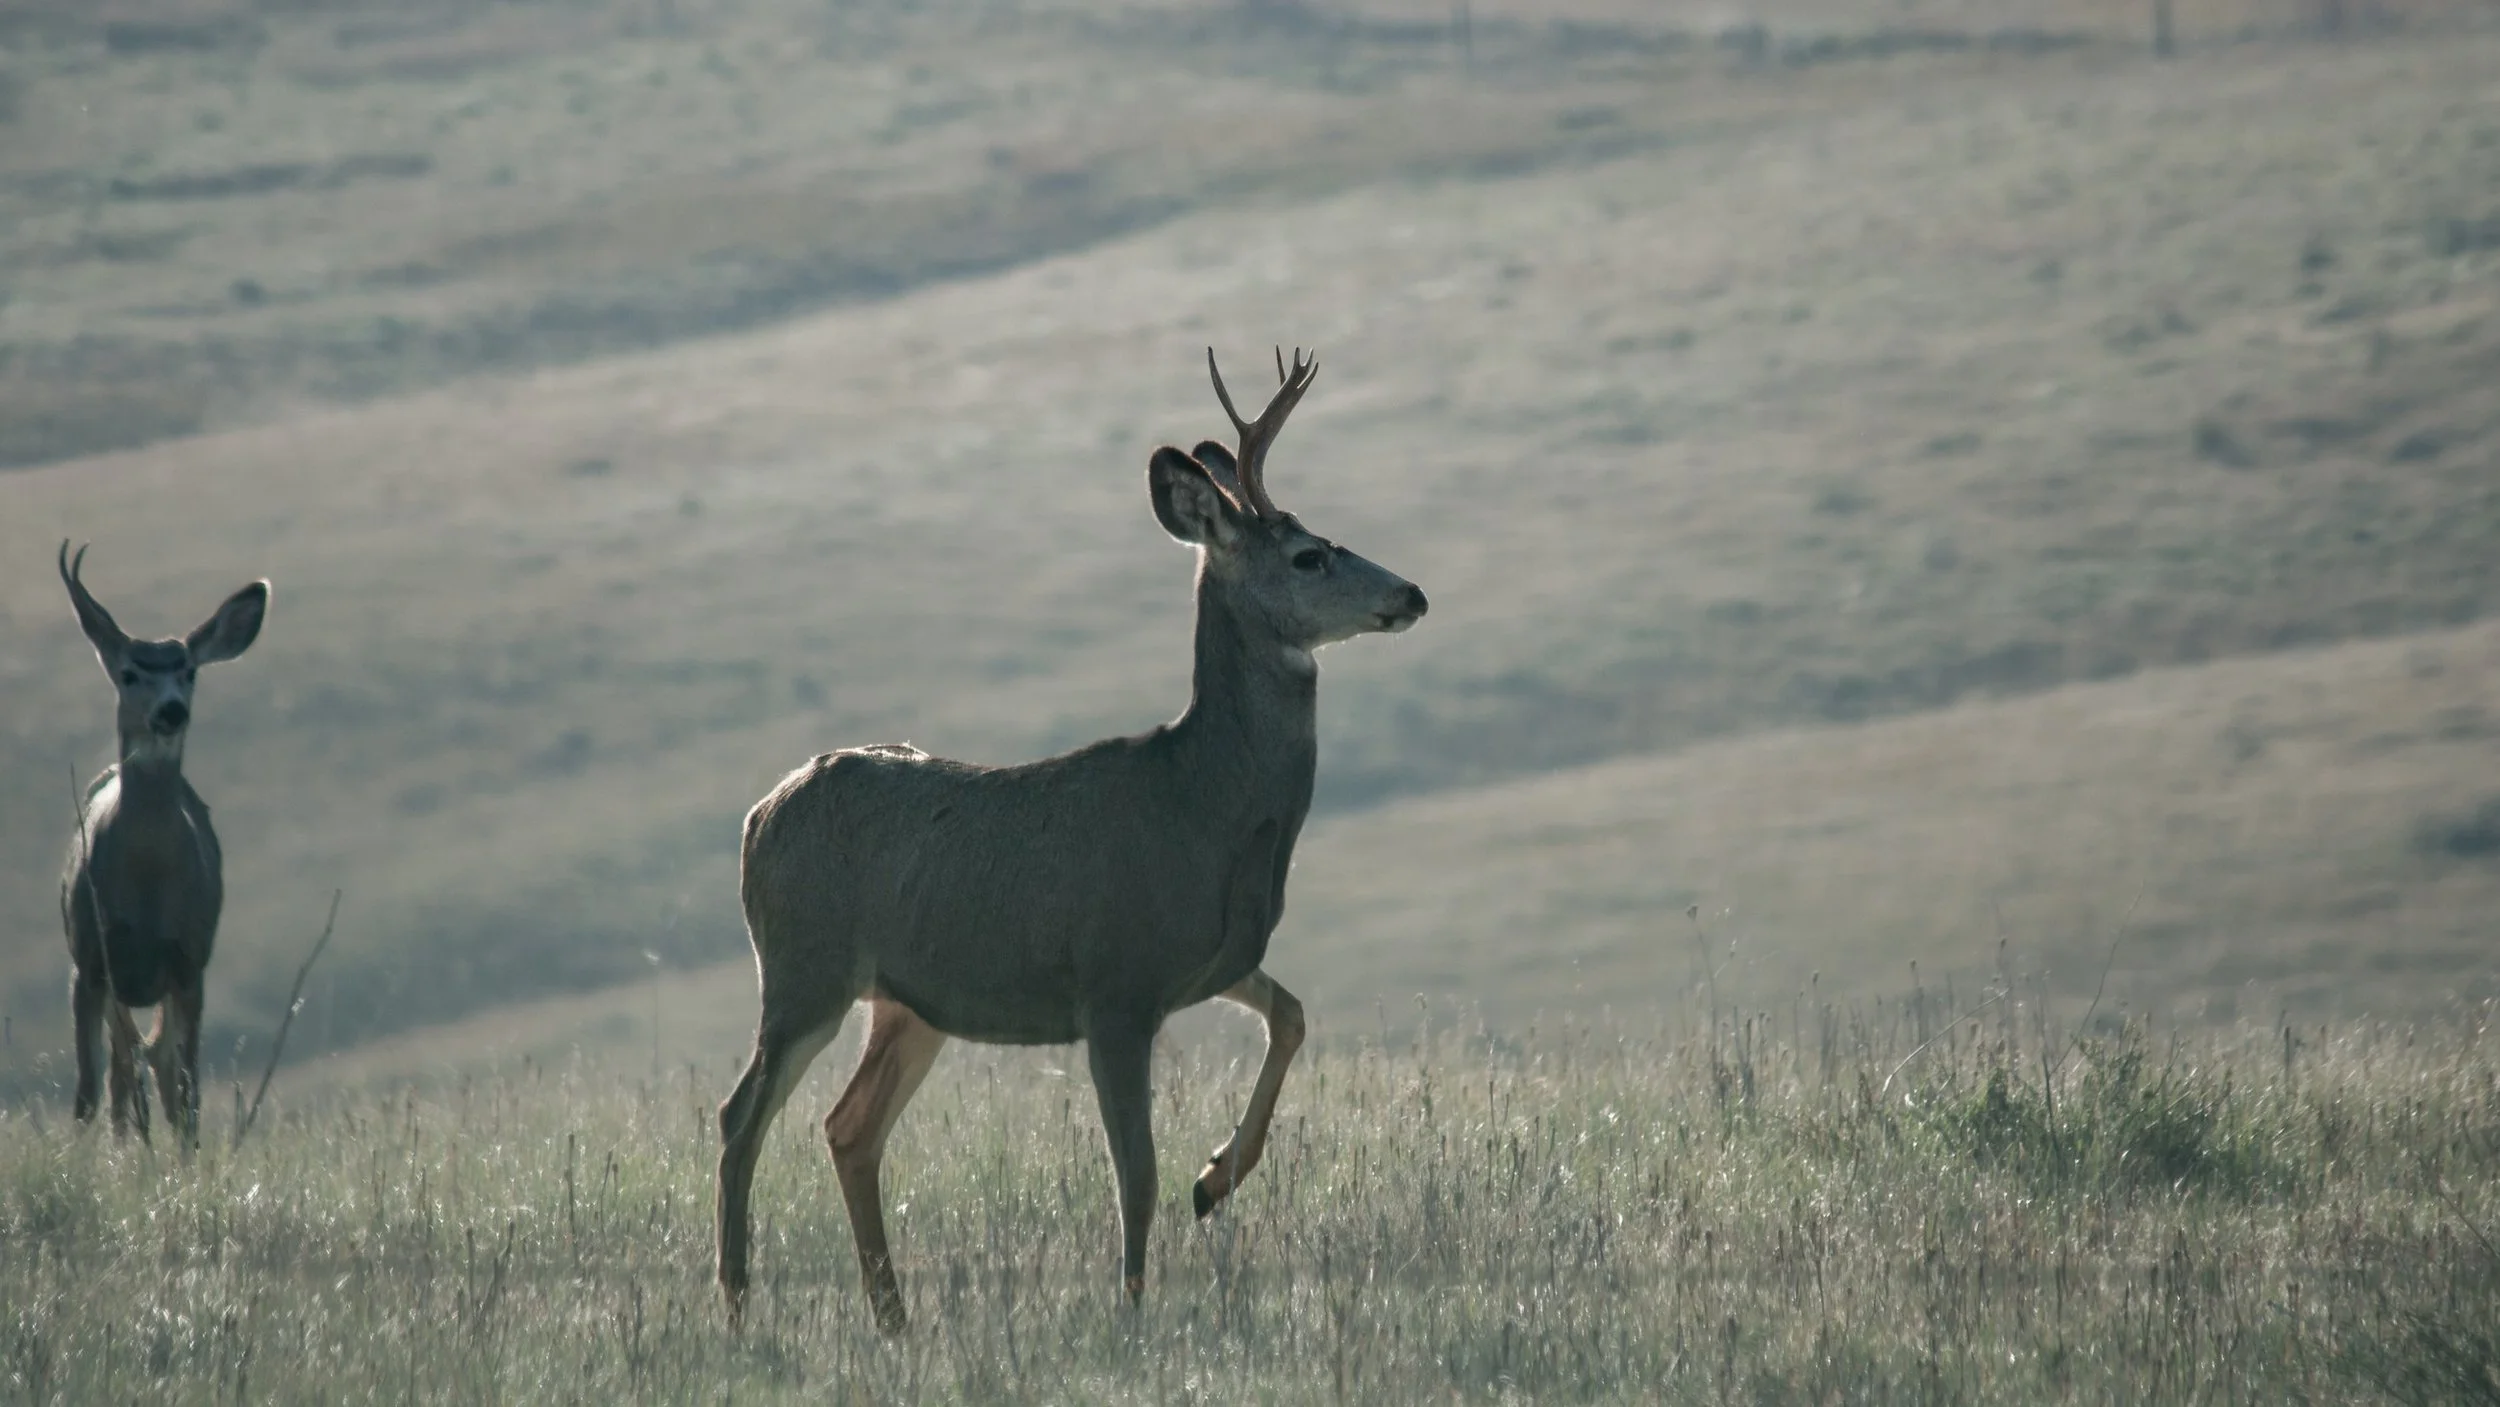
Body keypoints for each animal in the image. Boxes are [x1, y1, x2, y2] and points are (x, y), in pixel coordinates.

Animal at [57, 541, 270, 1148]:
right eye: (129, 673)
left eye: (189, 671)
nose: (172, 709)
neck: (146, 886)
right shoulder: (90, 958)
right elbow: (86, 1090)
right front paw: (85, 1157)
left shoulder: (189, 958)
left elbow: (188, 1089)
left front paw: (186, 1157)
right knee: (123, 1068)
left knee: (157, 1066)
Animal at [716, 348, 1428, 1333]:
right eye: (1309, 553)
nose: (1412, 593)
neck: (1204, 804)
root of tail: (760, 815)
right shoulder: (1115, 984)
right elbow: (1137, 1172)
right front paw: (1133, 1307)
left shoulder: (1209, 960)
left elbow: (1290, 1015)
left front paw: (1218, 1179)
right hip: (804, 969)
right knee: (739, 1116)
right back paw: (738, 1302)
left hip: (907, 1002)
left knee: (847, 1127)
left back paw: (893, 1317)